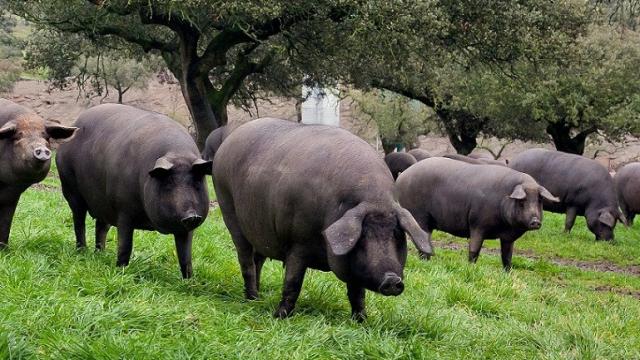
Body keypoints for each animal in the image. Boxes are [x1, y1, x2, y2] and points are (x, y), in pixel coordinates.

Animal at [0, 98, 77, 248]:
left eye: (45, 136)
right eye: (18, 136)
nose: (41, 149)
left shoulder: (12, 195)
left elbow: (6, 221)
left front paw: (4, 248)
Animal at [56, 104, 211, 278]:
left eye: (196, 182)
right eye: (169, 183)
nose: (191, 215)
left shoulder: (185, 229)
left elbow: (185, 256)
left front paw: (189, 280)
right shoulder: (123, 210)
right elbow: (125, 245)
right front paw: (120, 271)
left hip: (103, 203)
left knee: (101, 226)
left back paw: (100, 254)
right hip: (71, 190)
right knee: (79, 222)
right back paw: (82, 252)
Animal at [212, 118, 432, 320]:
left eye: (397, 235)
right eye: (363, 237)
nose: (392, 280)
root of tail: (228, 142)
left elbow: (357, 293)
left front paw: (362, 321)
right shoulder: (297, 243)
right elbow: (293, 282)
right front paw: (280, 316)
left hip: (260, 230)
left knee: (258, 259)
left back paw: (258, 298)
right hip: (229, 210)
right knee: (246, 261)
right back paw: (252, 299)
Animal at [396, 158, 556, 270]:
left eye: (539, 200)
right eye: (522, 201)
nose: (535, 221)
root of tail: (402, 176)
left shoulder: (507, 238)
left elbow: (507, 256)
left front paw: (508, 273)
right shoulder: (478, 224)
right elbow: (474, 250)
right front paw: (471, 267)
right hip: (419, 216)